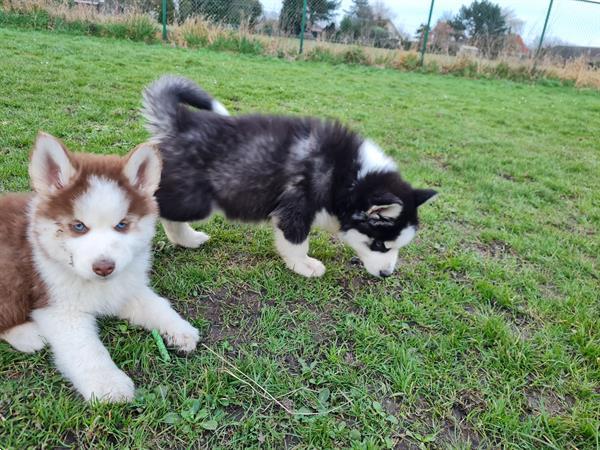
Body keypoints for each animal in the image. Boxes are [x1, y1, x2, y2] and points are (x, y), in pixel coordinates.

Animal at [0, 133, 202, 400]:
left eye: (122, 225)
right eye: (78, 226)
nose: (104, 267)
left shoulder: (124, 287)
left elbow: (156, 305)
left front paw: (180, 329)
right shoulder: (60, 310)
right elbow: (87, 350)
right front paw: (109, 385)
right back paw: (28, 335)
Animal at [144, 75, 438, 276]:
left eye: (397, 246)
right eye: (379, 244)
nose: (387, 274)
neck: (349, 177)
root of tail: (182, 122)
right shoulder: (297, 208)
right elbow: (297, 242)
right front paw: (304, 266)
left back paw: (188, 240)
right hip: (194, 201)